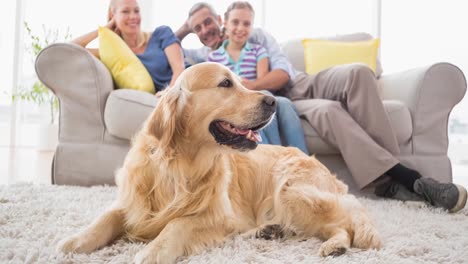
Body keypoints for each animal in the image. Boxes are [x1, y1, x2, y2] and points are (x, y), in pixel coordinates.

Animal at [58, 63, 380, 262]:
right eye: (225, 83)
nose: (273, 101)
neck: (180, 165)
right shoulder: (132, 203)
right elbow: (105, 218)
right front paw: (75, 242)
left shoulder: (215, 215)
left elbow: (177, 223)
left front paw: (153, 251)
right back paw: (267, 230)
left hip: (291, 190)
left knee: (345, 224)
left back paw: (336, 244)